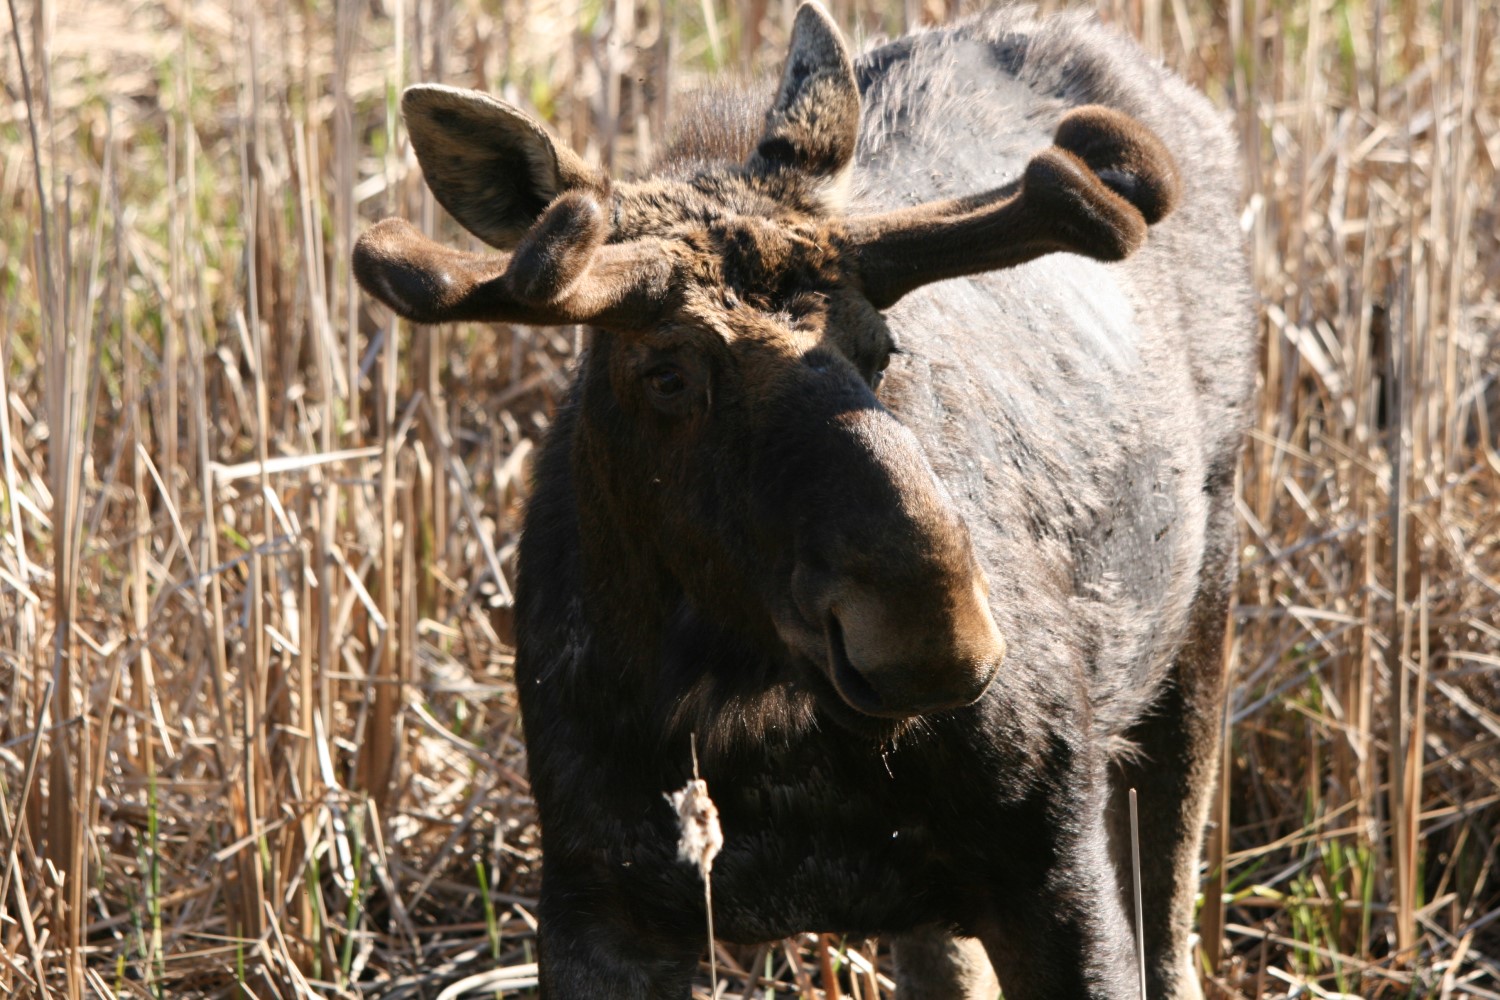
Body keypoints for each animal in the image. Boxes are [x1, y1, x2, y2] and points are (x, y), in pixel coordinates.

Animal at [351, 3, 1254, 995]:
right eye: (666, 374)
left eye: (882, 347)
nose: (934, 636)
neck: (751, 728)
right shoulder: (597, 900)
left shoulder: (1052, 863)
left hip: (1202, 609)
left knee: (1172, 926)